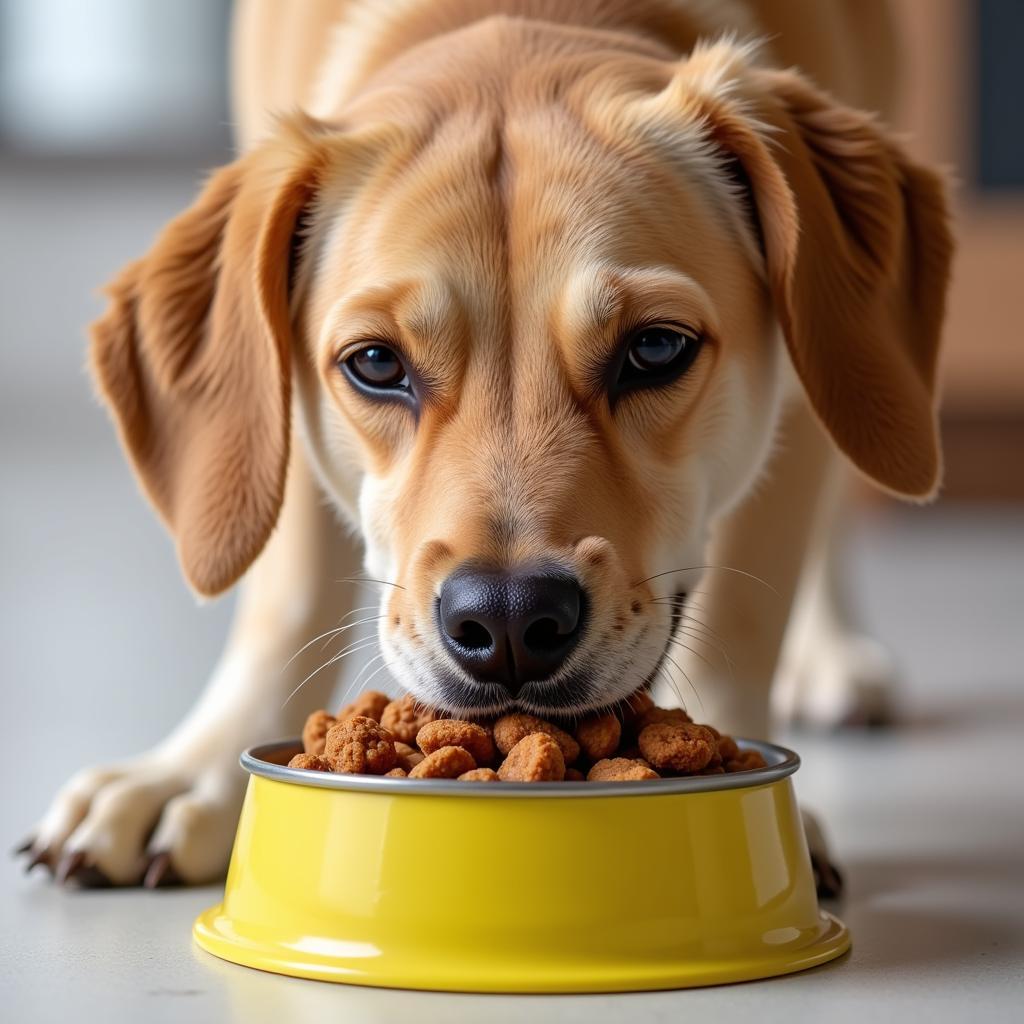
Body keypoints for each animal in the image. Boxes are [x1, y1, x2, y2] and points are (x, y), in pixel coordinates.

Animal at [22, 0, 950, 888]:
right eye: (375, 363)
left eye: (656, 348)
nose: (506, 619)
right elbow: (284, 594)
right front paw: (197, 776)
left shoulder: (803, 391)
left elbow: (744, 619)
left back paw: (830, 653)